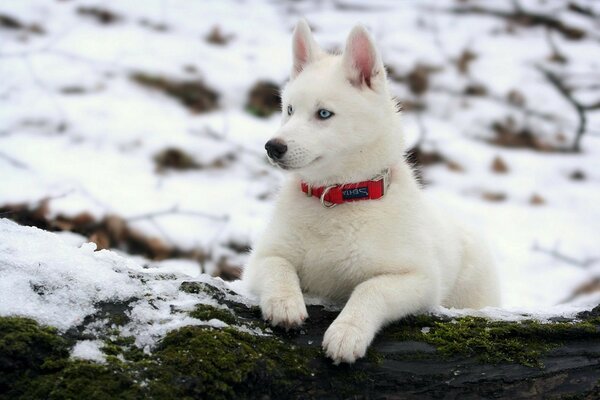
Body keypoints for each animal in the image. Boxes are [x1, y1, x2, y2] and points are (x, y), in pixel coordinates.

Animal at [241, 18, 500, 364]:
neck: (336, 197)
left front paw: (346, 332)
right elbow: (277, 267)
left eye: (324, 114)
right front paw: (284, 303)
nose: (273, 147)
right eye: (290, 110)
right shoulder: (261, 258)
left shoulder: (419, 279)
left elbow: (370, 289)